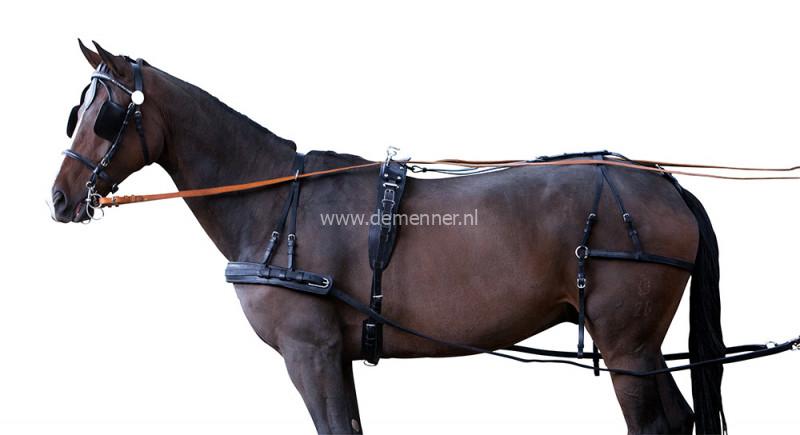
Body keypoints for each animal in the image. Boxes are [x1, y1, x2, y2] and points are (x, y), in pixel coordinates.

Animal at [51, 41, 726, 434]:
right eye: (76, 114)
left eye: (106, 115)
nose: (58, 198)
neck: (274, 204)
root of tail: (665, 184)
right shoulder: (335, 353)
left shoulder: (310, 349)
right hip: (640, 345)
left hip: (624, 344)